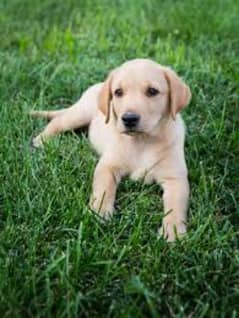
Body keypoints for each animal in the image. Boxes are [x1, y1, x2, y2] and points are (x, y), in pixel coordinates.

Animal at [30, 58, 191, 241]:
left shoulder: (175, 178)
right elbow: (103, 189)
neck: (142, 141)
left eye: (152, 91)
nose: (129, 118)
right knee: (57, 122)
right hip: (80, 114)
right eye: (118, 92)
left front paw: (173, 230)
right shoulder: (107, 166)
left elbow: (175, 204)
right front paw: (99, 212)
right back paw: (41, 140)